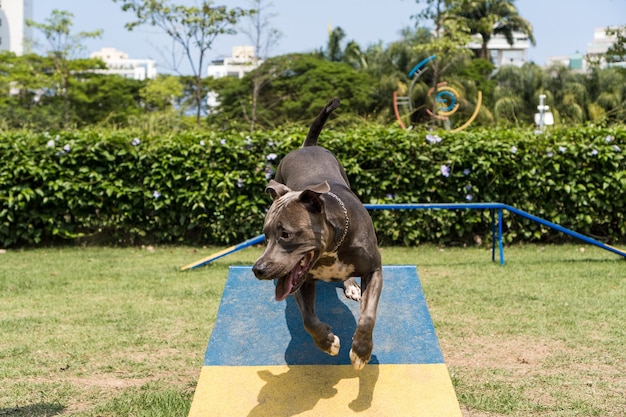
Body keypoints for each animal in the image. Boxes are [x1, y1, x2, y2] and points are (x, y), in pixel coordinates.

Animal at [252, 97, 380, 370]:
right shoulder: (300, 280)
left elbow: (368, 315)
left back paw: (351, 286)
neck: (333, 247)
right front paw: (328, 342)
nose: (258, 269)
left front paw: (362, 351)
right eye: (265, 236)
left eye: (286, 234)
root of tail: (307, 147)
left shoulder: (375, 270)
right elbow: (308, 320)